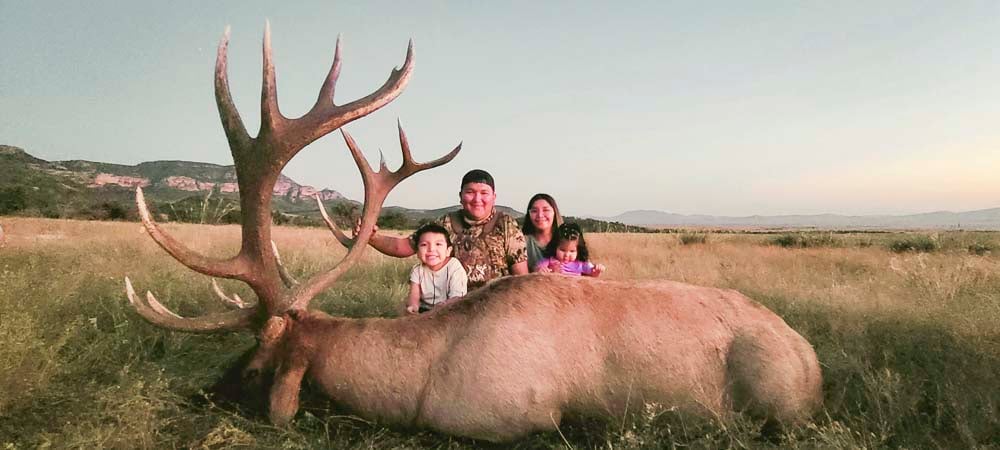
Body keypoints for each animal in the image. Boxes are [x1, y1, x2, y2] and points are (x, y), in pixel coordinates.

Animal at [123, 24, 823, 443]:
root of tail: (812, 360)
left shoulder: (520, 421)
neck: (420, 385)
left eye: (252, 365)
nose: (198, 395)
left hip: (777, 401)